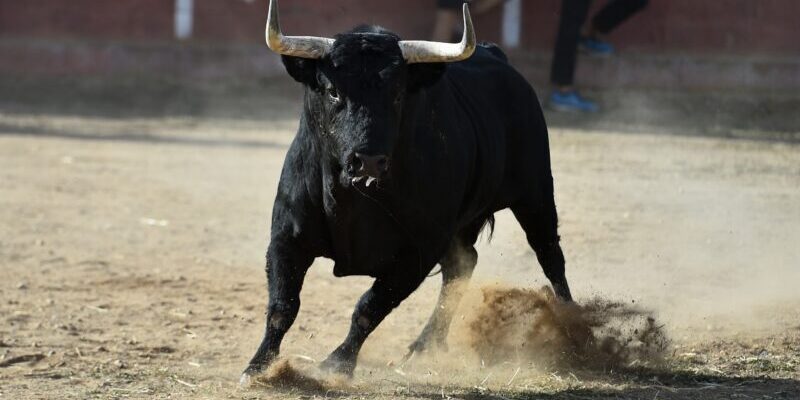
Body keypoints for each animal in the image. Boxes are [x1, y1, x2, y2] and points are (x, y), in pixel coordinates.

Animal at [242, 0, 573, 383]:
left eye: (398, 95)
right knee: (463, 264)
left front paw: (337, 364)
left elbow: (369, 307)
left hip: (535, 192)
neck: (355, 201)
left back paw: (575, 330)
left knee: (550, 255)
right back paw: (425, 345)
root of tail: (498, 57)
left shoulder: (417, 252)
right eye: (333, 90)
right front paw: (258, 365)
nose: (368, 161)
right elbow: (283, 305)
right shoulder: (286, 236)